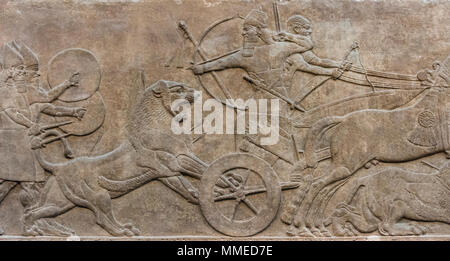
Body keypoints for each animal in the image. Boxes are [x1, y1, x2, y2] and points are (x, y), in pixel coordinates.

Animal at [23, 77, 207, 236]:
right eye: (180, 89)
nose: (197, 93)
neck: (158, 125)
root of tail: (58, 167)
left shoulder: (167, 173)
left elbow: (185, 185)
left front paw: (198, 196)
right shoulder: (178, 159)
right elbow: (203, 168)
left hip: (60, 202)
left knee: (34, 213)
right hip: (98, 196)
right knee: (101, 218)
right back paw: (123, 231)